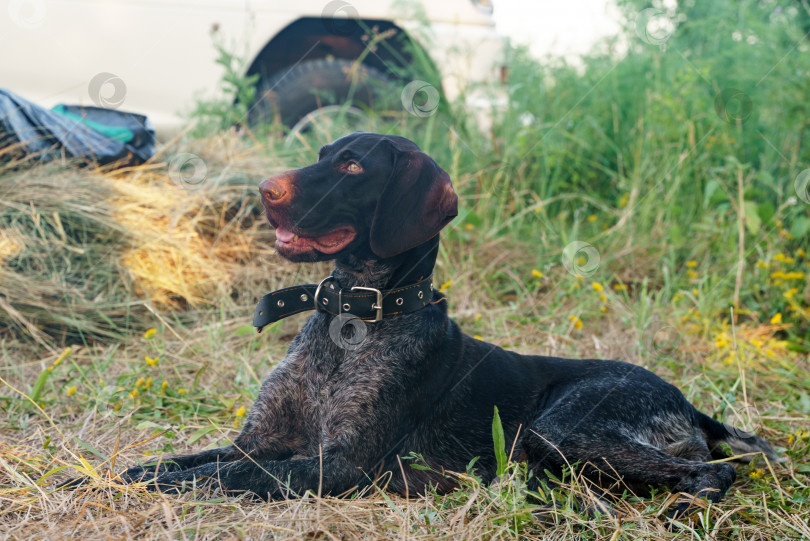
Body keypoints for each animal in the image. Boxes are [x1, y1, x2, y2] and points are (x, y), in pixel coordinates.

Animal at [109, 130, 776, 520]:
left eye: (352, 167)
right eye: (323, 156)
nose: (263, 188)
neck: (349, 324)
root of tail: (689, 404)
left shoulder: (338, 466)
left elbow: (223, 475)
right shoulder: (260, 440)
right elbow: (181, 463)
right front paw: (128, 473)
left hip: (566, 428)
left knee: (714, 471)